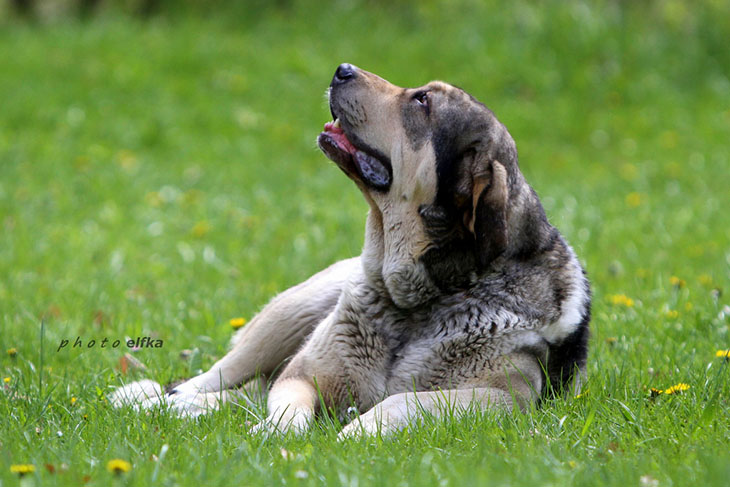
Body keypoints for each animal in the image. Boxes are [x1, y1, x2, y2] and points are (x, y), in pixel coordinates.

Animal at [111, 65, 588, 438]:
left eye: (422, 101)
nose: (342, 69)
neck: (414, 303)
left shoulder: (503, 399)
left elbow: (404, 401)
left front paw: (357, 431)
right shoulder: (304, 373)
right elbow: (287, 404)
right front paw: (274, 431)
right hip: (292, 312)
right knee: (217, 380)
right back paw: (159, 401)